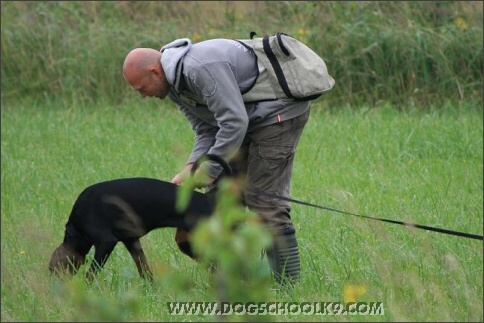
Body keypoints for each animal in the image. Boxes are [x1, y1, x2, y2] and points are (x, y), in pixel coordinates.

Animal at [49, 156, 233, 282]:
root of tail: (210, 199)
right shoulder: (131, 241)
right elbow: (144, 269)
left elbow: (92, 272)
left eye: (53, 270)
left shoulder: (106, 242)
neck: (76, 229)